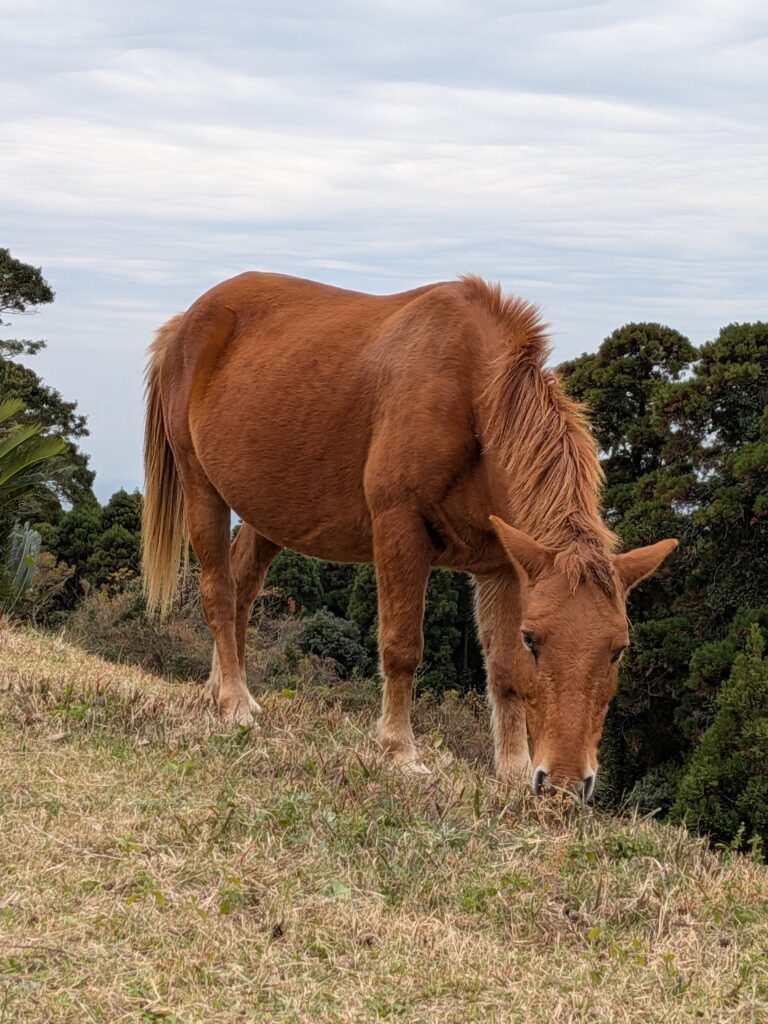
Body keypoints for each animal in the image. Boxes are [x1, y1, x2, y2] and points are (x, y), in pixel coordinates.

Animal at [141, 272, 676, 796]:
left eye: (618, 649)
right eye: (534, 639)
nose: (563, 784)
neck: (472, 395)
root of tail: (185, 323)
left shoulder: (503, 565)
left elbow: (503, 672)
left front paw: (510, 770)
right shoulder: (400, 529)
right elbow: (402, 646)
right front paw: (399, 751)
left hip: (268, 511)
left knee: (242, 590)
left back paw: (223, 688)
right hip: (201, 486)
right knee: (218, 590)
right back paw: (233, 701)